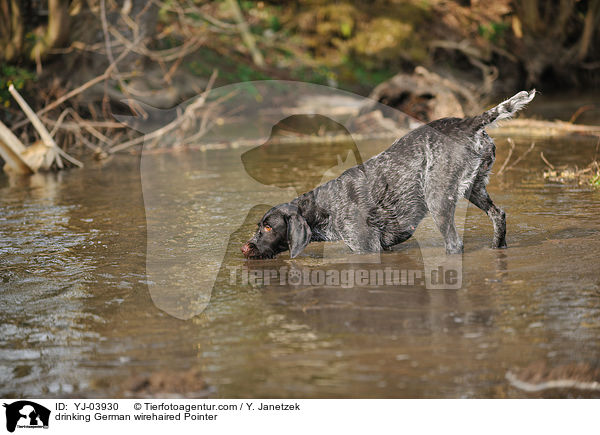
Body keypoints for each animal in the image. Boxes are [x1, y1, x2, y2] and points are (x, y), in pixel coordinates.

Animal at [241, 89, 536, 258]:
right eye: (259, 226)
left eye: (268, 227)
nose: (244, 247)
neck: (323, 208)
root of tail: (468, 122)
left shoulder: (366, 248)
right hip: (475, 188)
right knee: (499, 216)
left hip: (439, 200)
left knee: (455, 244)